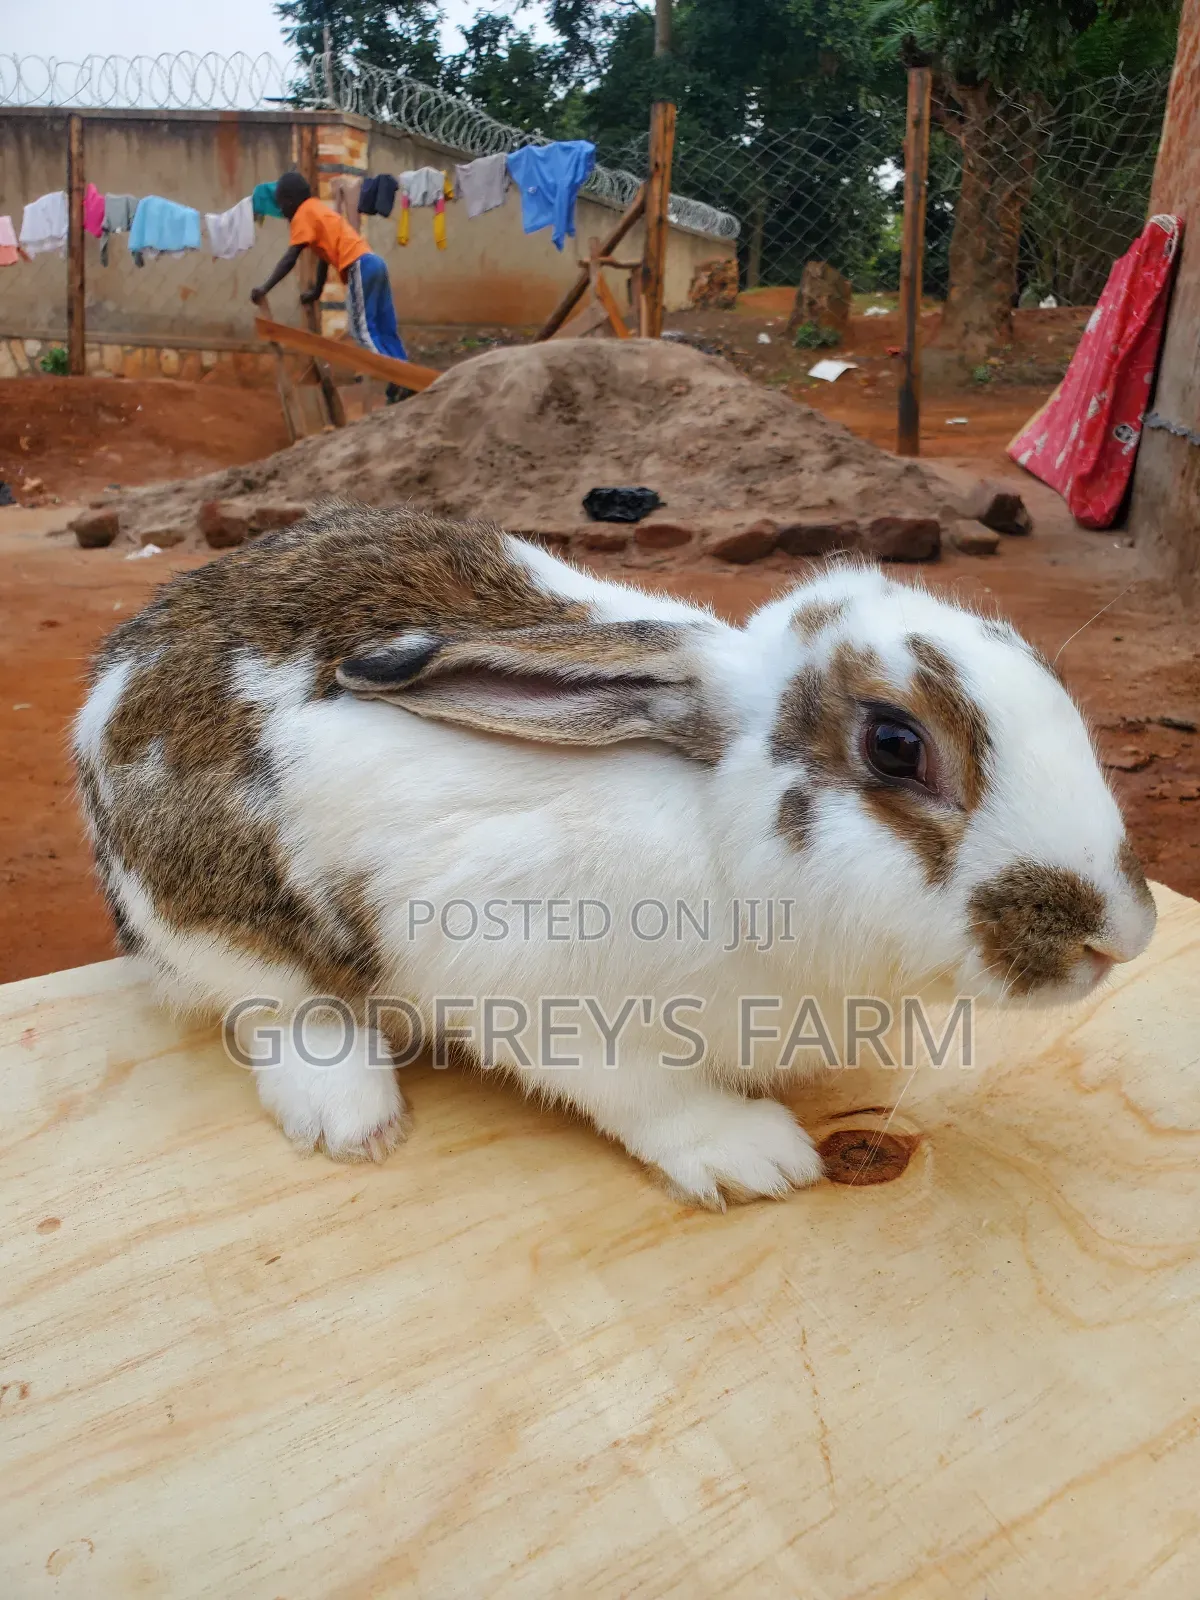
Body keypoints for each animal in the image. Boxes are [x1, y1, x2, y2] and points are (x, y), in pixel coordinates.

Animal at [74, 502, 1156, 1206]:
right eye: (896, 744)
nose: (1124, 934)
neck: (720, 844)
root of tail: (124, 666)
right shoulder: (530, 986)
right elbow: (644, 1093)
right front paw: (755, 1155)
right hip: (214, 912)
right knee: (276, 1008)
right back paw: (355, 1114)